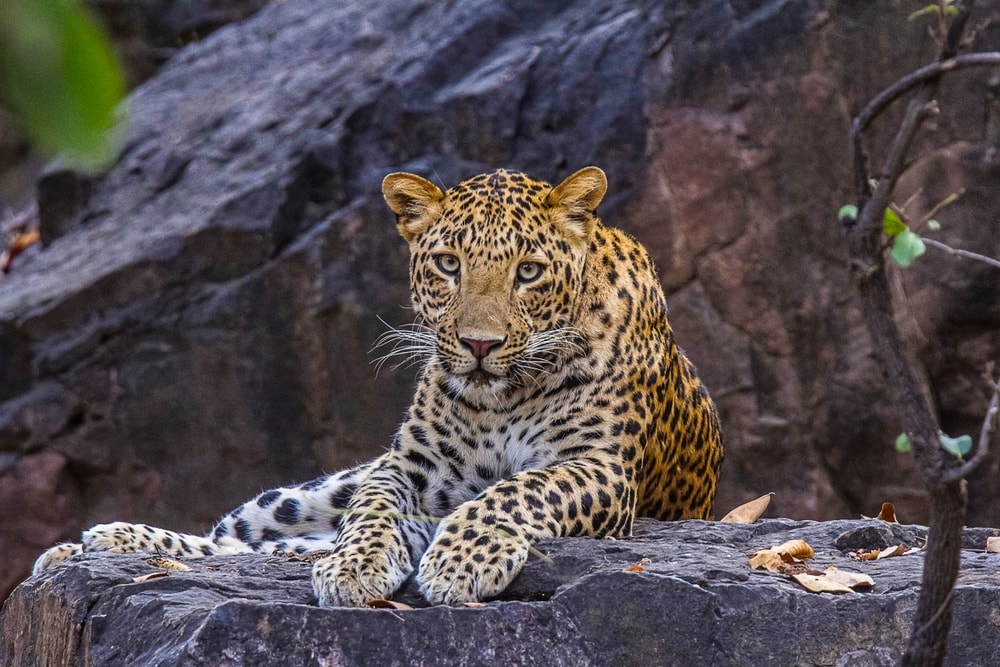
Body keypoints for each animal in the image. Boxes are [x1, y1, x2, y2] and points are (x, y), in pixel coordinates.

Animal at [33, 166, 723, 606]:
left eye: (529, 272)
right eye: (448, 264)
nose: (479, 345)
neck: (502, 400)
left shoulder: (600, 466)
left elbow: (515, 491)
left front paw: (459, 561)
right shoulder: (406, 468)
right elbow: (372, 509)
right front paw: (356, 565)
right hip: (299, 494)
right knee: (240, 536)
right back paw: (101, 544)